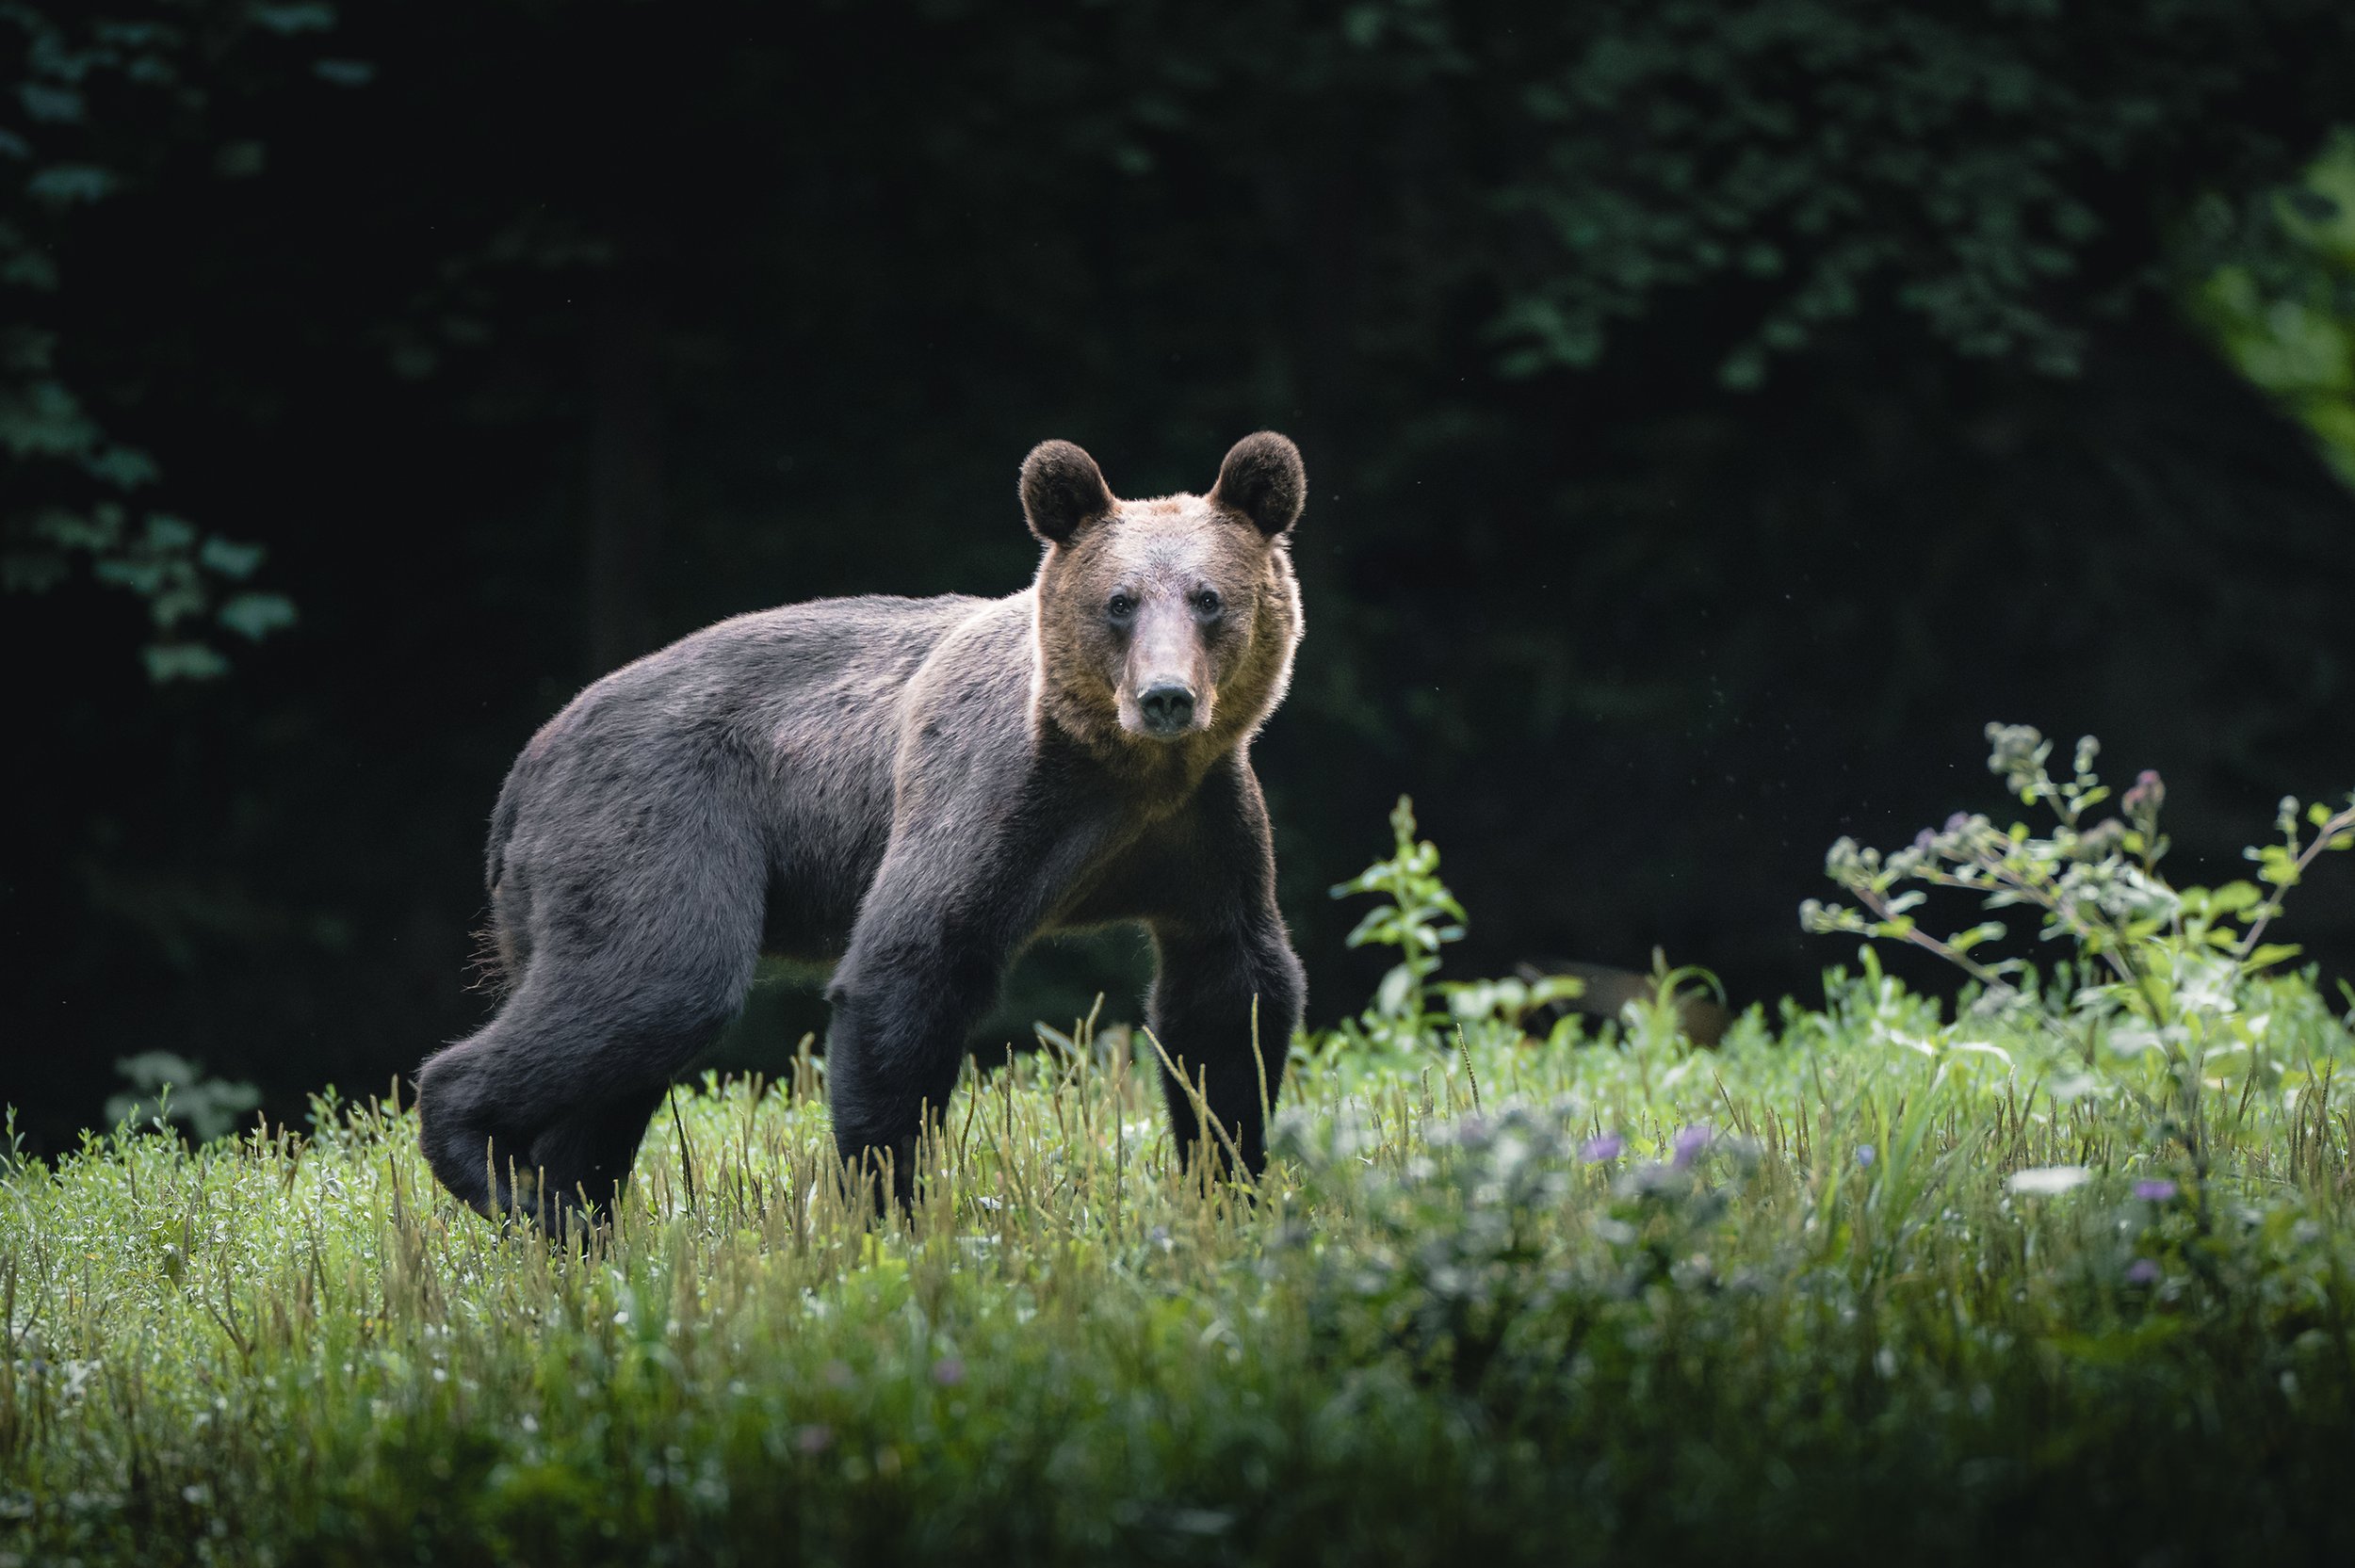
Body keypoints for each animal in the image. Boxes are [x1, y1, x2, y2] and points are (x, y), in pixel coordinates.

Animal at [414, 432, 1310, 1226]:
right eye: (1118, 603)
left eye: (1209, 598)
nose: (1166, 697)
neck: (1121, 773)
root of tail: (524, 769)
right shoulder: (987, 799)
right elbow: (908, 970)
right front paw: (890, 1207)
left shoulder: (1199, 834)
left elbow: (1227, 1001)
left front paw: (1229, 1187)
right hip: (653, 820)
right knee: (658, 981)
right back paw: (490, 1167)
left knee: (612, 1078)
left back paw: (566, 1215)